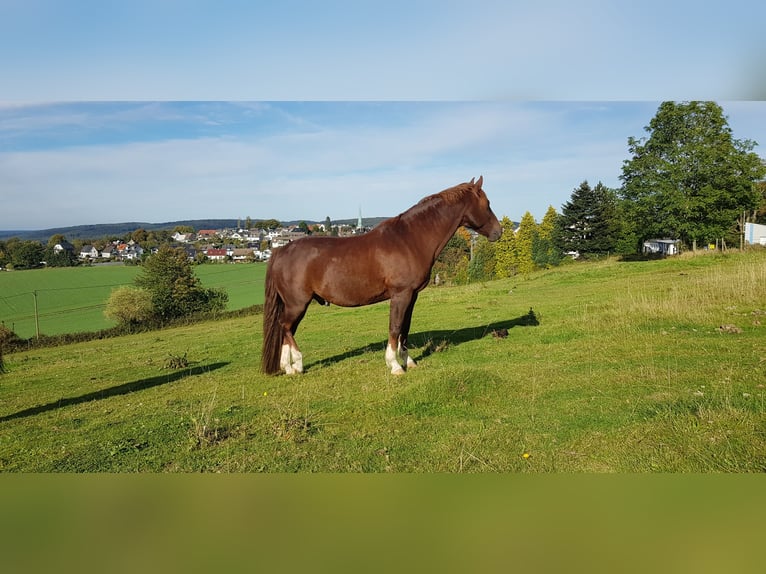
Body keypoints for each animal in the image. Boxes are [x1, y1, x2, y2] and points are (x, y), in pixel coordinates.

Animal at [262, 180, 504, 378]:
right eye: (487, 203)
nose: (499, 232)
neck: (410, 239)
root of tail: (280, 251)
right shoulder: (400, 294)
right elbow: (395, 327)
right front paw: (395, 366)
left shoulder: (412, 296)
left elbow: (405, 328)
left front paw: (409, 361)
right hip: (298, 303)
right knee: (285, 327)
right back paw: (296, 365)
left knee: (286, 329)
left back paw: (288, 367)